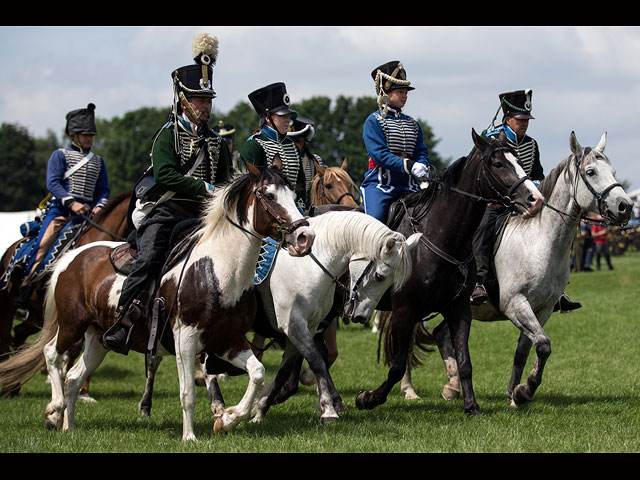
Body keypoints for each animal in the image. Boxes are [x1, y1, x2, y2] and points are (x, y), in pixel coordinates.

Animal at [0, 191, 132, 398]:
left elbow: (79, 349)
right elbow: (75, 348)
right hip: (9, 306)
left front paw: (82, 390)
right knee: (6, 338)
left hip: (39, 316)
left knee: (19, 334)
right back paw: (8, 386)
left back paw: (14, 385)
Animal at [352, 128, 544, 416]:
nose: (535, 199)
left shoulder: (459, 308)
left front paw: (471, 405)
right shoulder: (405, 310)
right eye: (498, 164)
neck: (439, 236)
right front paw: (368, 398)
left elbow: (464, 361)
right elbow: (396, 365)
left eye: (519, 161)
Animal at [404, 130, 636, 404]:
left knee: (440, 334)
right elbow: (543, 345)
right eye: (590, 172)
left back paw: (452, 386)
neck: (538, 242)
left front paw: (514, 393)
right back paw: (408, 389)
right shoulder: (516, 304)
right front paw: (525, 390)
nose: (625, 206)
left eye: (612, 170)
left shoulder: (542, 309)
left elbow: (525, 351)